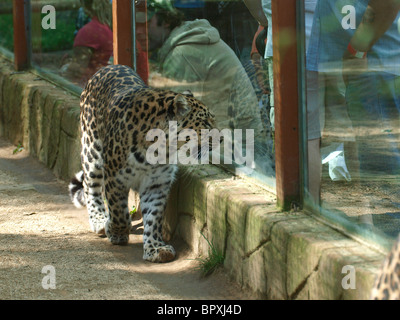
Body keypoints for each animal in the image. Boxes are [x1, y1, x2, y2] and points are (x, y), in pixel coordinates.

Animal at [69, 64, 219, 262]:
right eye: (205, 122)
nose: (221, 138)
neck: (160, 148)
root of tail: (106, 67)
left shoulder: (157, 183)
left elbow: (154, 217)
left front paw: (155, 248)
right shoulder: (115, 178)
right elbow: (118, 211)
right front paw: (116, 232)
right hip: (92, 151)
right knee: (90, 186)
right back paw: (99, 220)